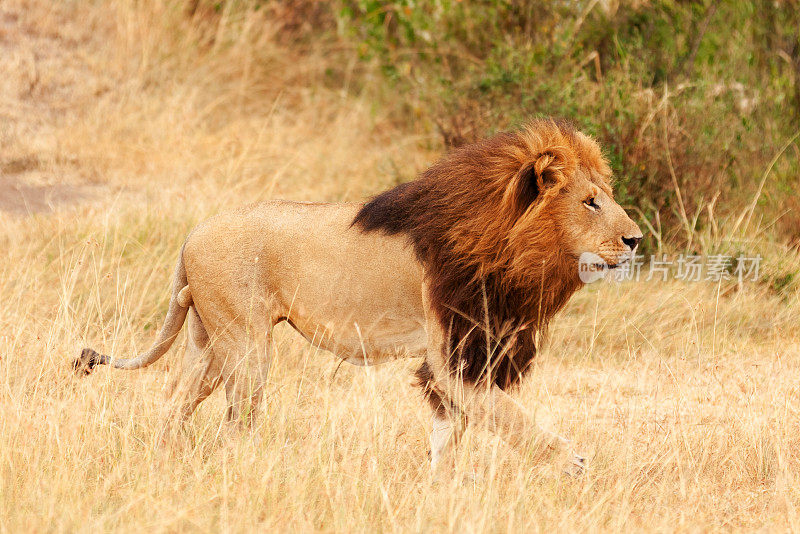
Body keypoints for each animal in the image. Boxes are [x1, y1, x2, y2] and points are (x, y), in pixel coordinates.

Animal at [75, 118, 644, 478]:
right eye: (591, 202)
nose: (636, 239)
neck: (506, 243)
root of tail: (192, 235)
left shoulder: (470, 352)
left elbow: (449, 434)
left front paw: (442, 489)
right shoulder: (454, 354)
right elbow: (508, 417)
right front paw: (572, 463)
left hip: (208, 341)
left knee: (175, 403)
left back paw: (164, 466)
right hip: (246, 343)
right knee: (237, 420)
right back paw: (249, 471)